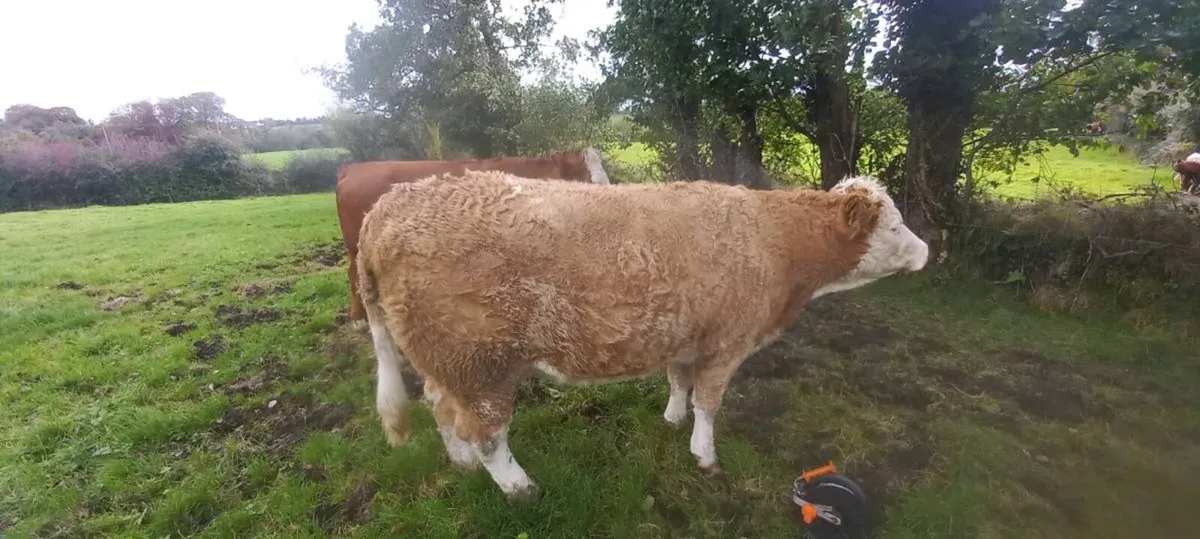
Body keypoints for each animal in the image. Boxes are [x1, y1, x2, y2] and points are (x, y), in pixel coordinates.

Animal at [355, 171, 929, 500]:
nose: (928, 249)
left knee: (439, 407)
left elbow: (679, 384)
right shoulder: (729, 341)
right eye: (894, 227)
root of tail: (387, 205)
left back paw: (462, 465)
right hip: (479, 365)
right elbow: (709, 403)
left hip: (444, 362)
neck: (776, 243)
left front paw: (672, 421)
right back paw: (520, 488)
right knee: (487, 433)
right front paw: (705, 455)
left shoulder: (684, 335)